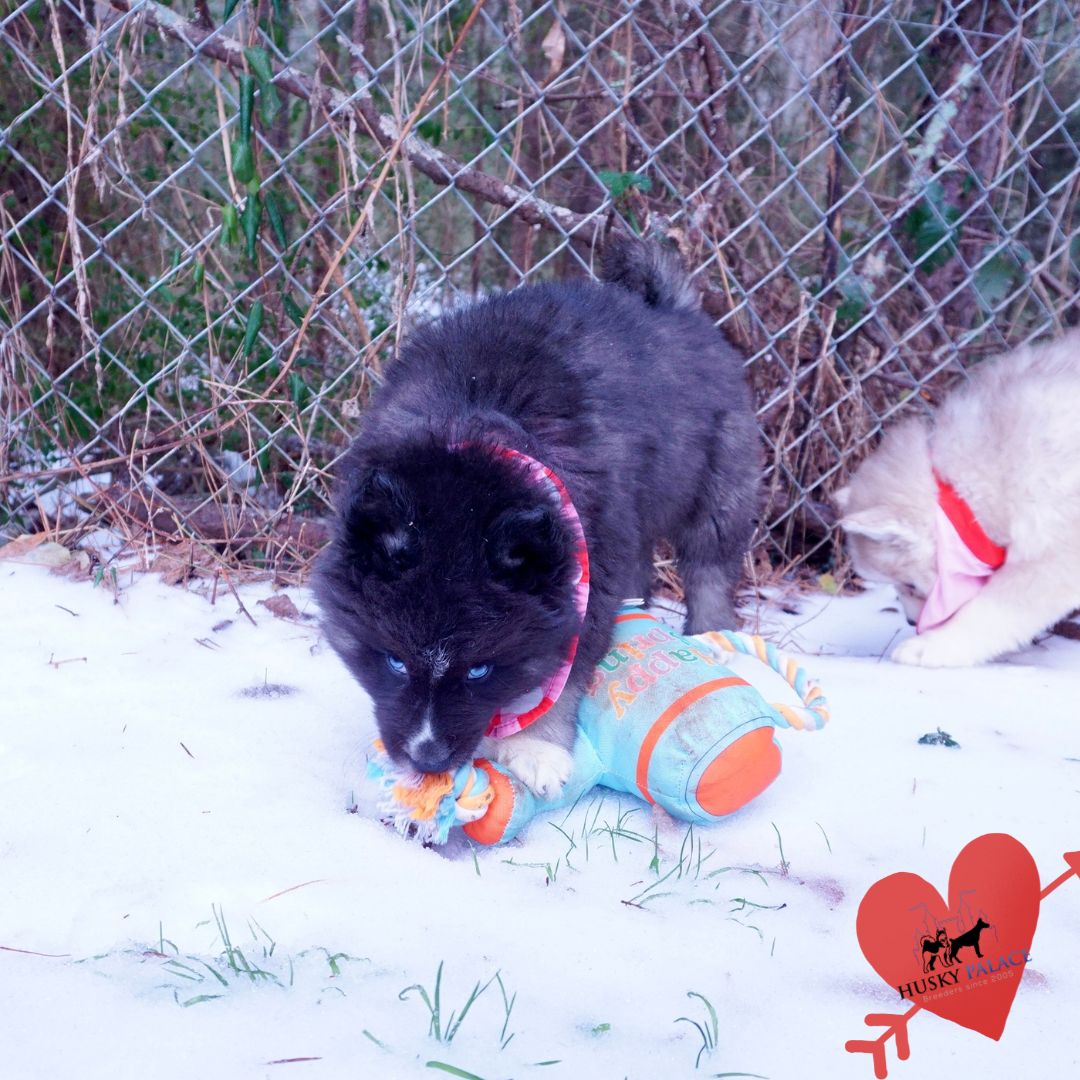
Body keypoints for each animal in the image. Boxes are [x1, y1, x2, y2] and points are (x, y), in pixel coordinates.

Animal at [315, 236, 760, 796]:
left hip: (719, 485)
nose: (428, 760)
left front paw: (537, 749)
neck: (467, 429)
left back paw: (712, 636)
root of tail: (678, 311)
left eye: (481, 671)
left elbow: (566, 674)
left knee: (711, 566)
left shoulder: (588, 575)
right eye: (394, 661)